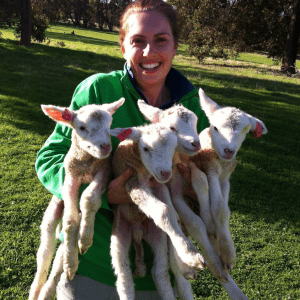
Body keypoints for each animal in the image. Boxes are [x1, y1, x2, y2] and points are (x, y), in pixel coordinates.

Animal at [28, 98, 125, 300]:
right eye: (81, 127)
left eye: (109, 125)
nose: (105, 147)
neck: (86, 163)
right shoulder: (70, 176)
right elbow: (70, 219)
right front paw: (73, 259)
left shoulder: (104, 169)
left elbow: (89, 198)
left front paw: (84, 239)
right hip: (52, 213)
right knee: (45, 251)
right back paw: (38, 289)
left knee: (57, 261)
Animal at [110, 122, 206, 300]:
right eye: (146, 148)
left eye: (173, 147)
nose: (166, 172)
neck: (144, 169)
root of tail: (137, 232)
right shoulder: (133, 182)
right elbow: (163, 211)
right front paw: (190, 254)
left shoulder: (159, 185)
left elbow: (172, 214)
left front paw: (187, 256)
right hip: (119, 232)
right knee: (123, 277)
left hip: (156, 234)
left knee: (159, 272)